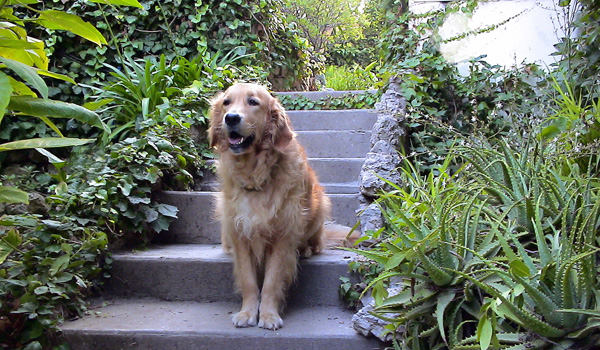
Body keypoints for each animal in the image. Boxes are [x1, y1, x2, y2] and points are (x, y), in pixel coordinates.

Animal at [207, 82, 356, 330]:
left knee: (315, 243)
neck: (254, 173)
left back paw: (305, 249)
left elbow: (272, 281)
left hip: (320, 205)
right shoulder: (240, 231)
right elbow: (248, 280)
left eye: (253, 102)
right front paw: (247, 312)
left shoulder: (282, 235)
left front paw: (268, 315)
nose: (231, 118)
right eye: (226, 102)